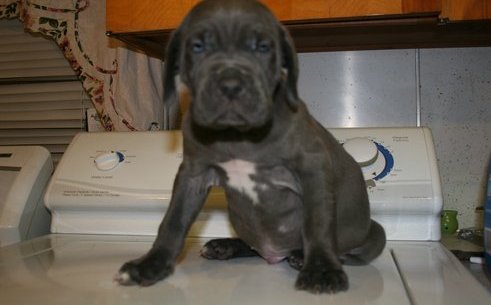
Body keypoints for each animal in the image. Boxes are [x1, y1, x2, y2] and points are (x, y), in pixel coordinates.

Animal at [117, 0, 386, 294]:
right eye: (198, 47)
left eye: (263, 47)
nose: (231, 85)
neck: (237, 135)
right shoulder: (192, 175)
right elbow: (173, 222)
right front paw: (150, 265)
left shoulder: (312, 168)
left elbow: (317, 222)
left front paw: (322, 269)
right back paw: (224, 246)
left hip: (373, 233)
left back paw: (301, 256)